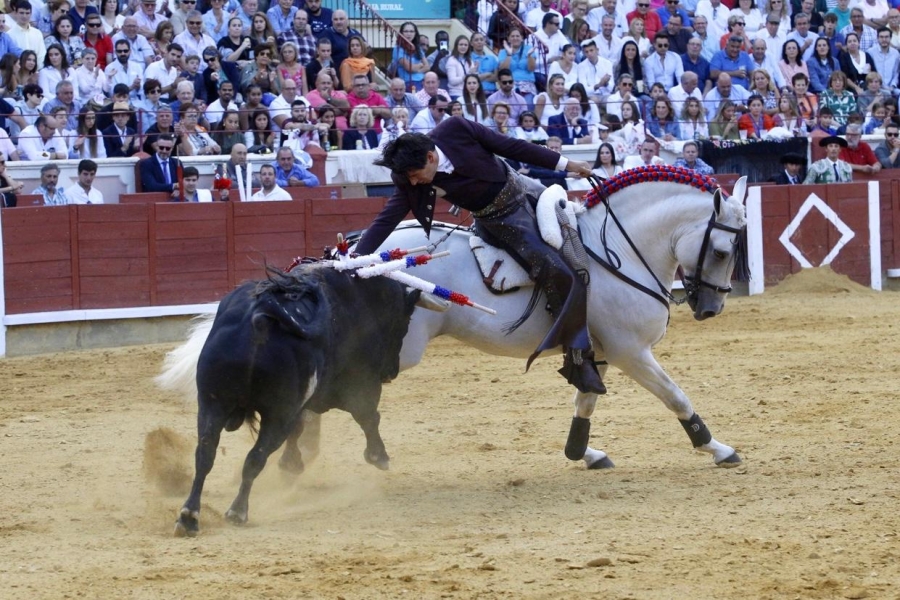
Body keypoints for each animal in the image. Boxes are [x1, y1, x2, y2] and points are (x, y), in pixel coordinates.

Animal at [173, 264, 420, 537]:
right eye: (406, 322)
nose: (391, 372)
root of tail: (260, 318)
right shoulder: (360, 385)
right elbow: (368, 417)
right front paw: (379, 457)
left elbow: (301, 428)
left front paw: (291, 464)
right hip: (278, 414)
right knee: (255, 459)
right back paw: (237, 511)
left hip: (212, 404)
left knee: (205, 453)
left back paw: (189, 515)